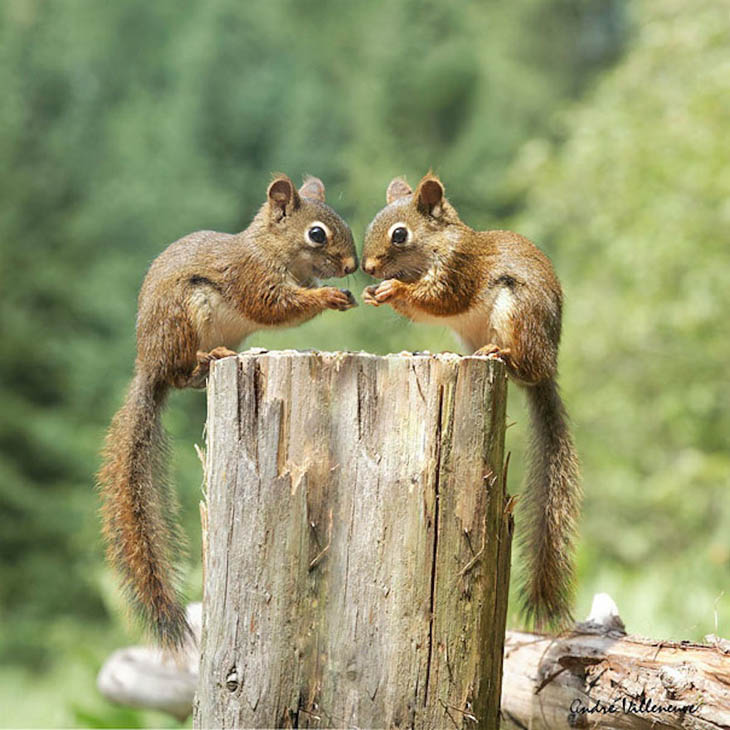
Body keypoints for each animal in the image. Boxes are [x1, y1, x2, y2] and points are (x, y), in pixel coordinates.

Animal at [96, 172, 358, 648]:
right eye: (317, 234)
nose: (351, 266)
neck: (272, 250)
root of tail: (148, 367)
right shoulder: (254, 279)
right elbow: (278, 306)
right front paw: (329, 296)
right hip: (184, 316)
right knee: (181, 373)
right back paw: (208, 358)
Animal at [360, 171, 580, 624]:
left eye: (400, 234)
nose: (368, 267)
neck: (436, 246)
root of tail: (548, 365)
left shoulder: (459, 270)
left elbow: (439, 298)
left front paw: (393, 288)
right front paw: (375, 292)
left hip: (517, 313)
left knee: (523, 364)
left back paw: (501, 355)